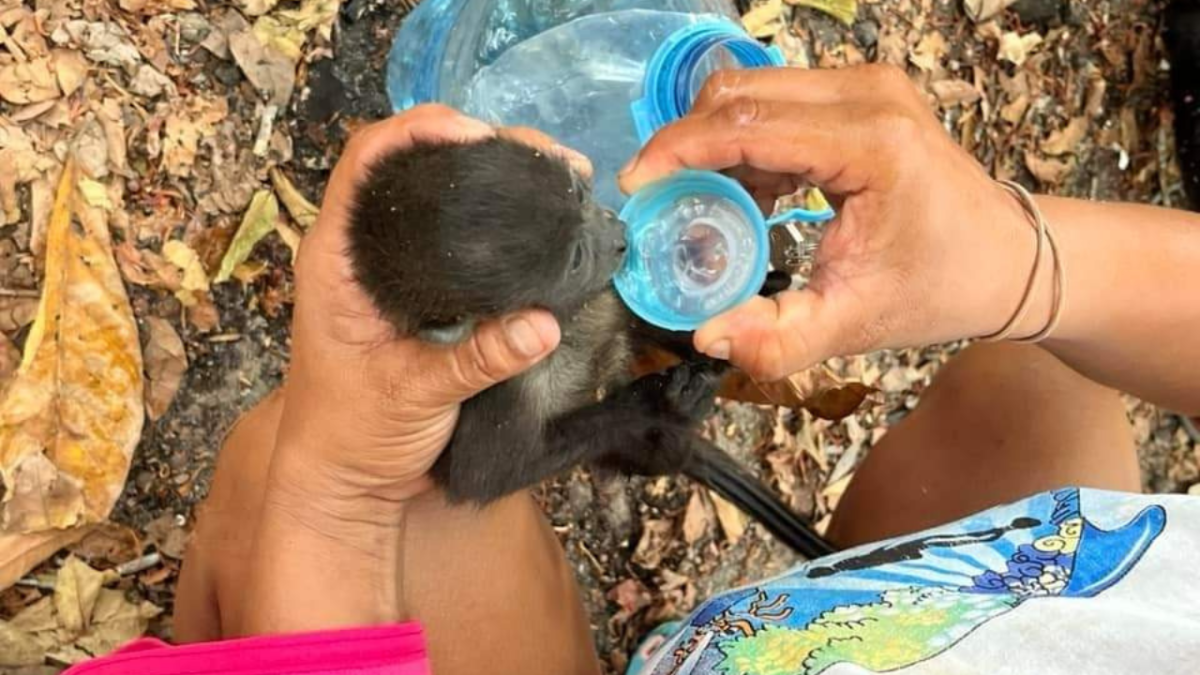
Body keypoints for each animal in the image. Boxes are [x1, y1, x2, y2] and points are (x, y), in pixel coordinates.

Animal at [348, 136, 835, 557]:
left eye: (580, 194)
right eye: (576, 259)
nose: (621, 235)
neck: (569, 316)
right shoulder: (501, 391)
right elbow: (486, 474)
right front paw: (645, 411)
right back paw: (666, 434)